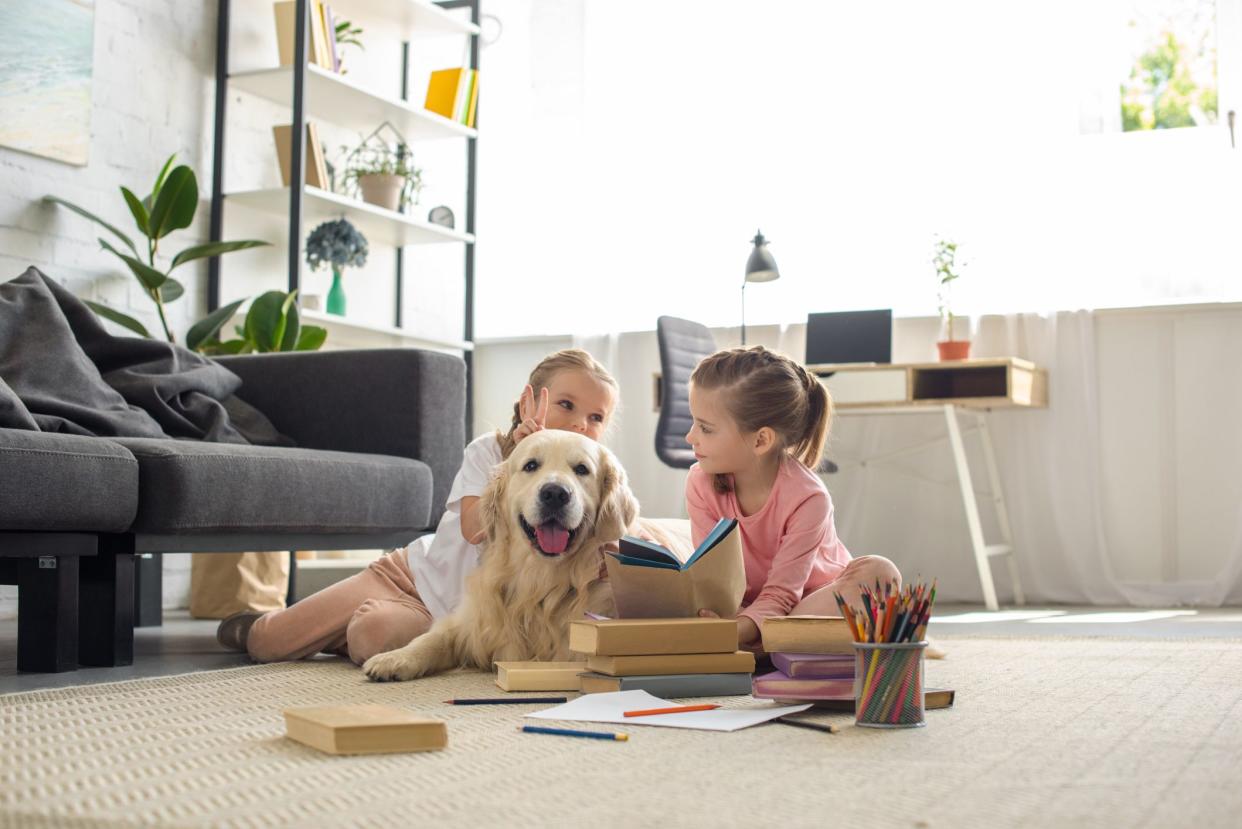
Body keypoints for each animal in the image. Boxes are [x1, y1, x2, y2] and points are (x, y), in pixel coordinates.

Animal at [357, 427, 630, 681]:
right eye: (531, 465)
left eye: (582, 469)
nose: (555, 493)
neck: (539, 581)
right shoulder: (472, 624)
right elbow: (433, 638)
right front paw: (394, 658)